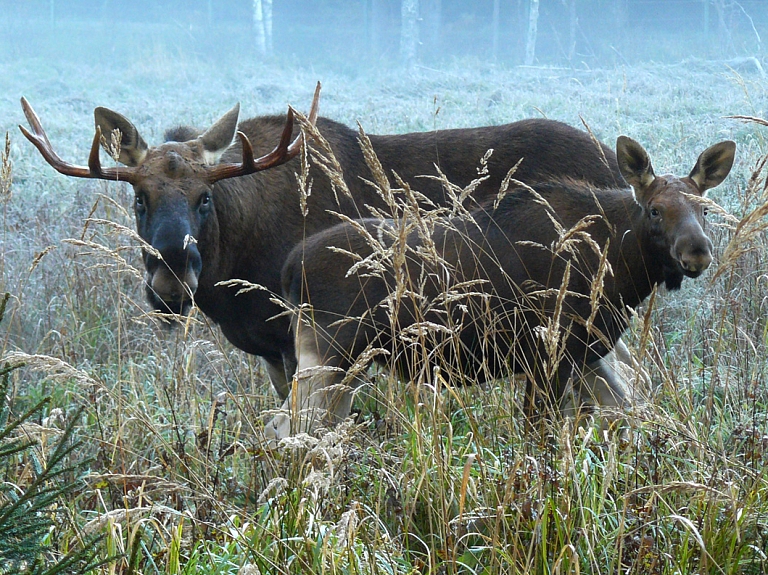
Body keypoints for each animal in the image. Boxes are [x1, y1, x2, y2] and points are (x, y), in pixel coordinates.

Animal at [22, 85, 636, 404]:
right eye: (139, 198)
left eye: (204, 198)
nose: (170, 278)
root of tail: (624, 178)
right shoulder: (274, 348)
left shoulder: (310, 334)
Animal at [272, 136, 736, 440]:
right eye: (656, 210)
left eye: (705, 209)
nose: (697, 251)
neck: (621, 268)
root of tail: (290, 266)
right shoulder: (549, 354)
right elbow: (541, 431)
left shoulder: (586, 352)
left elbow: (624, 412)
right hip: (329, 355)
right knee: (287, 428)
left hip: (346, 366)